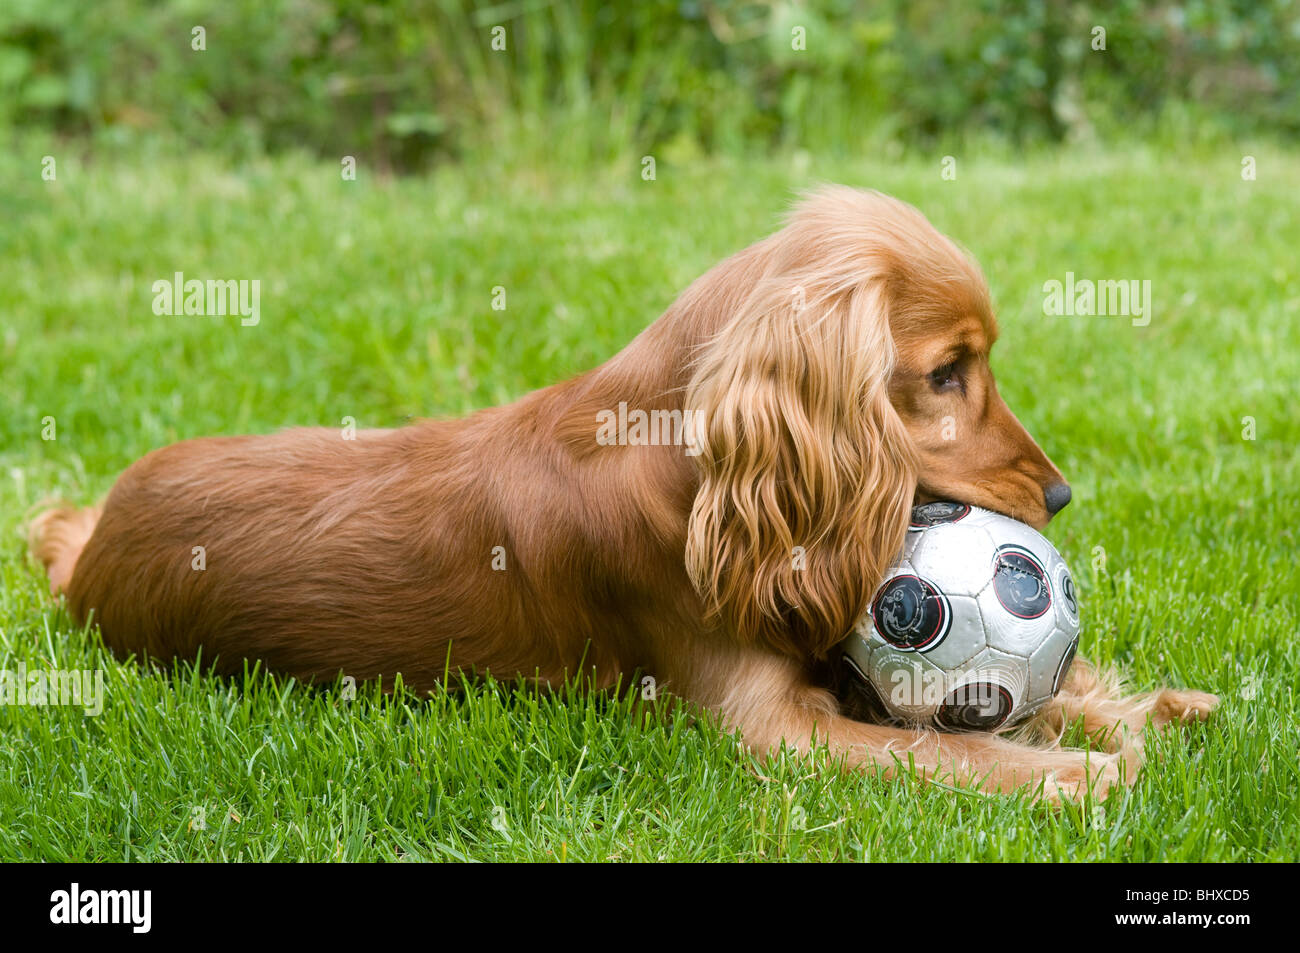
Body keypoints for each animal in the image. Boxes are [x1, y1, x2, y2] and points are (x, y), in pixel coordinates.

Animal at [30, 184, 1211, 795]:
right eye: (947, 372)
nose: (1057, 497)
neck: (689, 460)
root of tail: (91, 542)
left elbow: (1037, 696)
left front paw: (1148, 707)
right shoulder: (772, 726)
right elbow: (960, 750)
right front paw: (1098, 768)